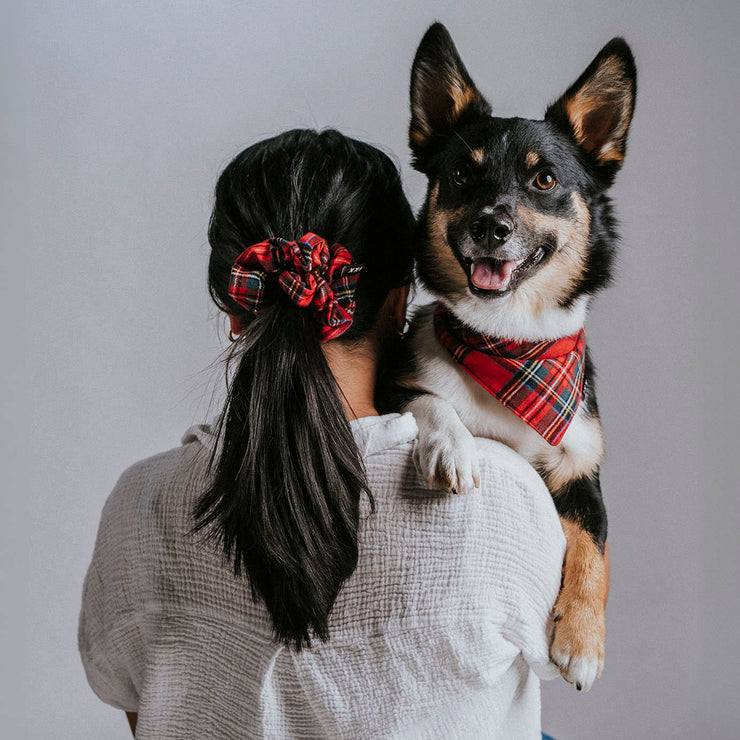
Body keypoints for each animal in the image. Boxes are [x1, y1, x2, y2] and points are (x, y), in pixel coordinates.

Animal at [394, 24, 636, 692]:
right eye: (460, 175)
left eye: (544, 181)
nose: (490, 227)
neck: (511, 343)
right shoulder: (399, 386)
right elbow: (433, 402)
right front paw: (452, 448)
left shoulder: (581, 468)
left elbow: (596, 546)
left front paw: (582, 642)